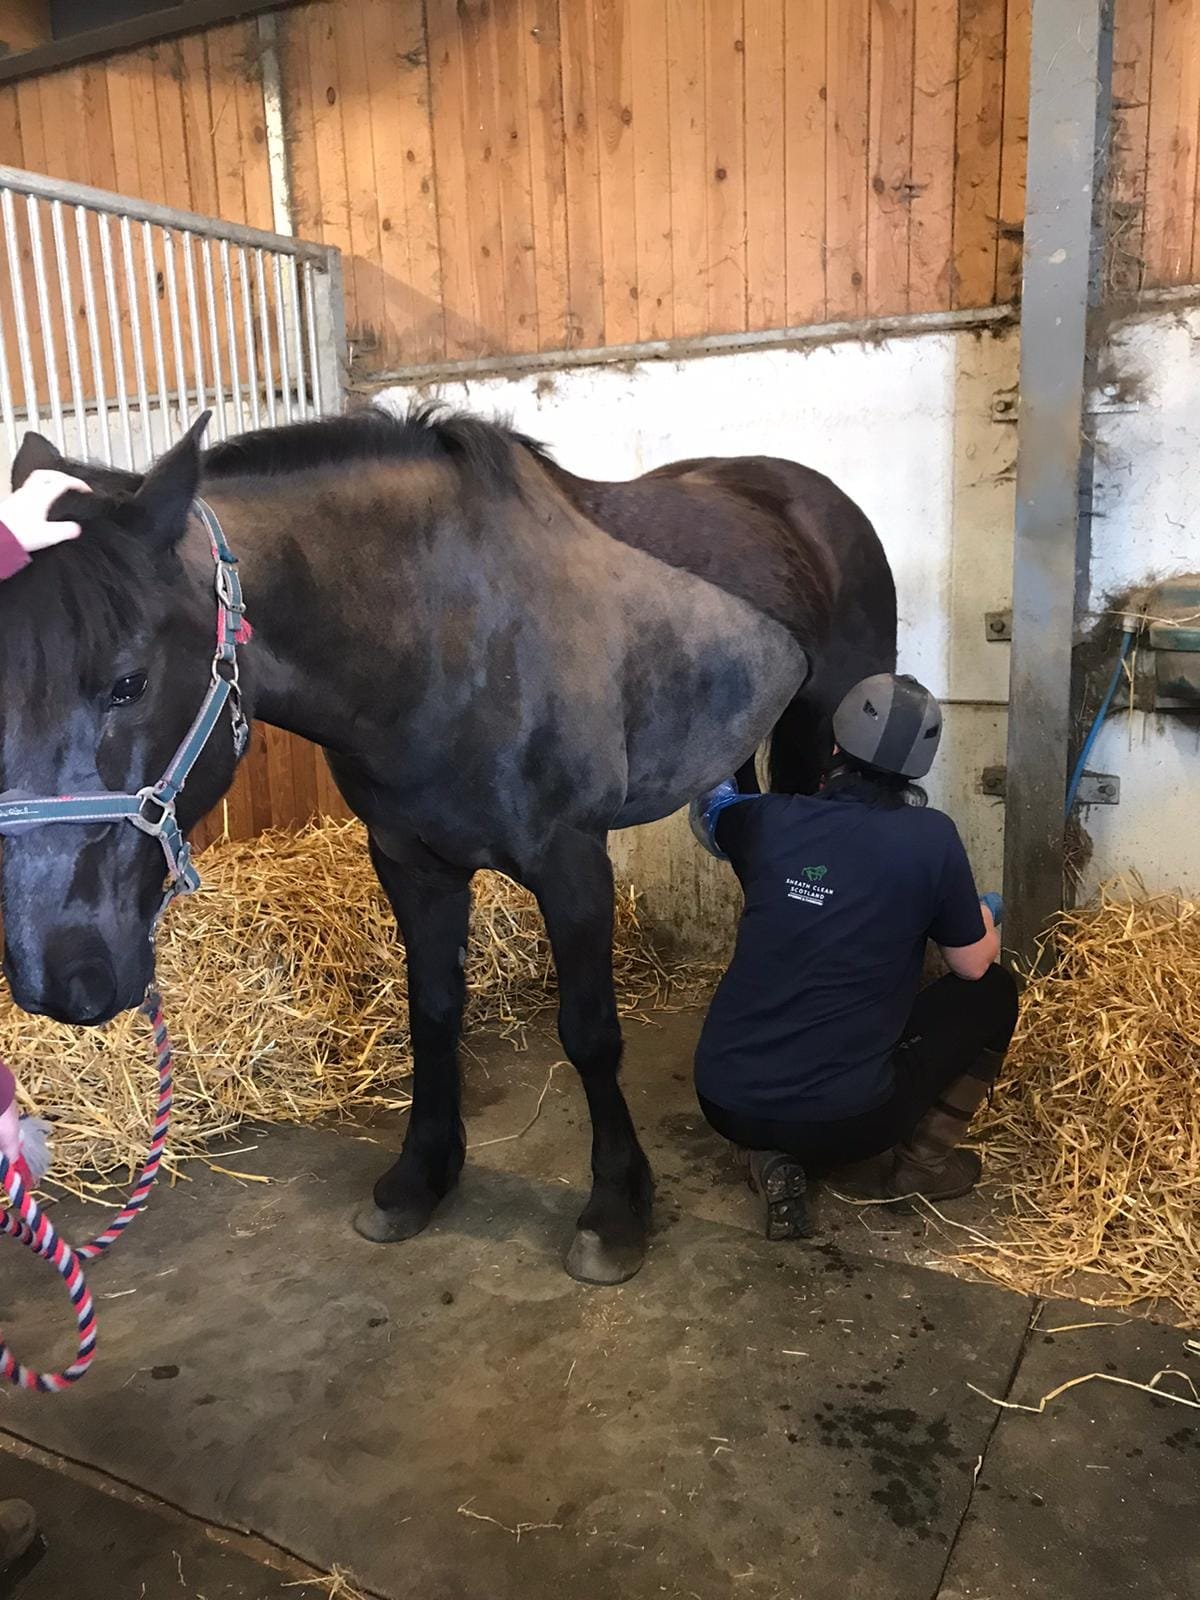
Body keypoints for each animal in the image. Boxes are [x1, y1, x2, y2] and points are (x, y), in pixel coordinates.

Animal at [0, 405, 895, 1284]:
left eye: (129, 682)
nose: (61, 977)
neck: (439, 636)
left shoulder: (572, 861)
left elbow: (590, 1033)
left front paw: (616, 1210)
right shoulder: (410, 862)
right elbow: (430, 1012)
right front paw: (419, 1178)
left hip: (816, 733)